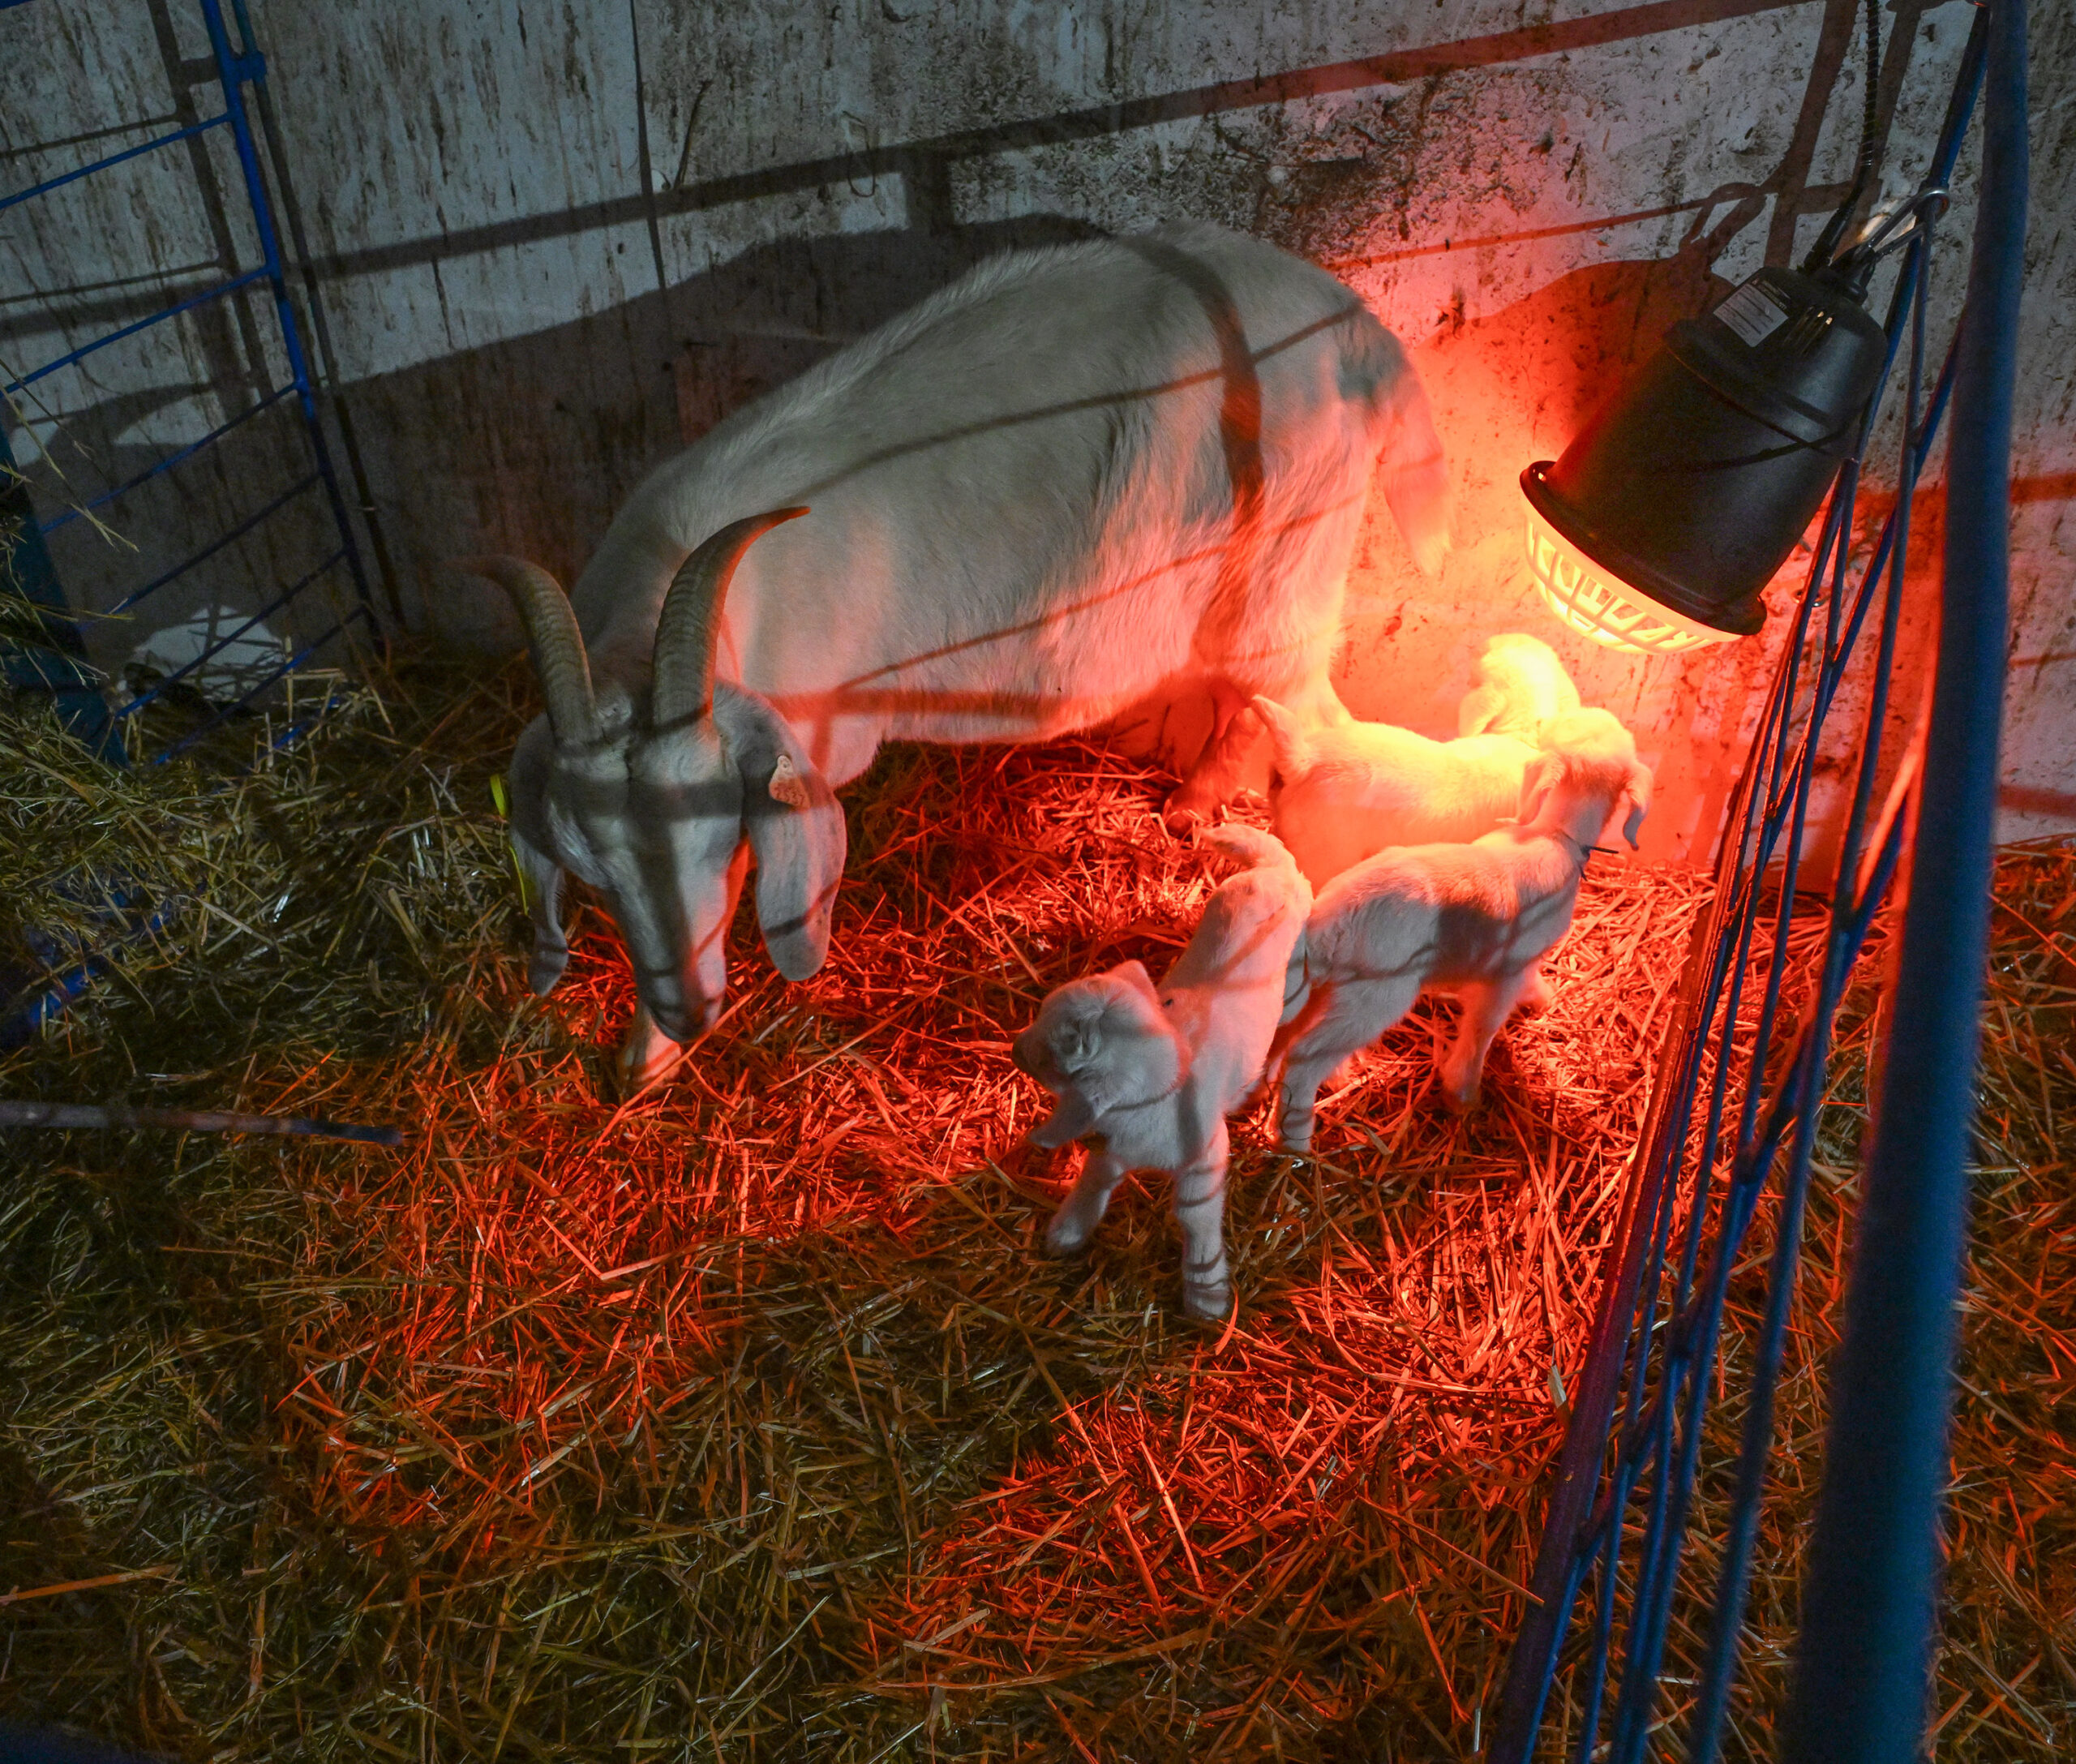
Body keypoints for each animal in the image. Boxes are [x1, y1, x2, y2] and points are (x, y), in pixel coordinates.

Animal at [461, 222, 1449, 1090]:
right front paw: (643, 1057)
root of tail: (1358, 328)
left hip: (1291, 572)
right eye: (593, 871)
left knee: (1309, 716)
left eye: (717, 833)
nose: (688, 1010)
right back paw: (1189, 810)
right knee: (1253, 708)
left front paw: (654, 1055)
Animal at [1012, 825, 1311, 1321]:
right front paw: (1067, 1232)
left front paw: (1207, 1297)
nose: (1015, 1051)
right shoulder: (1113, 1144)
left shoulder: (1206, 1161)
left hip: (1298, 978)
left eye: (1047, 1059)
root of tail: (1276, 868)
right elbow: (1096, 1178)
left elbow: (1196, 1217)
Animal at [1273, 708, 1652, 1152]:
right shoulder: (1507, 972)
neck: (1552, 835)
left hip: (1317, 987)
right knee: (1305, 1059)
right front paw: (1463, 1094)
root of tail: (1328, 920)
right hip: (1372, 999)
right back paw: (1296, 1142)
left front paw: (1539, 998)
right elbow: (1482, 1028)